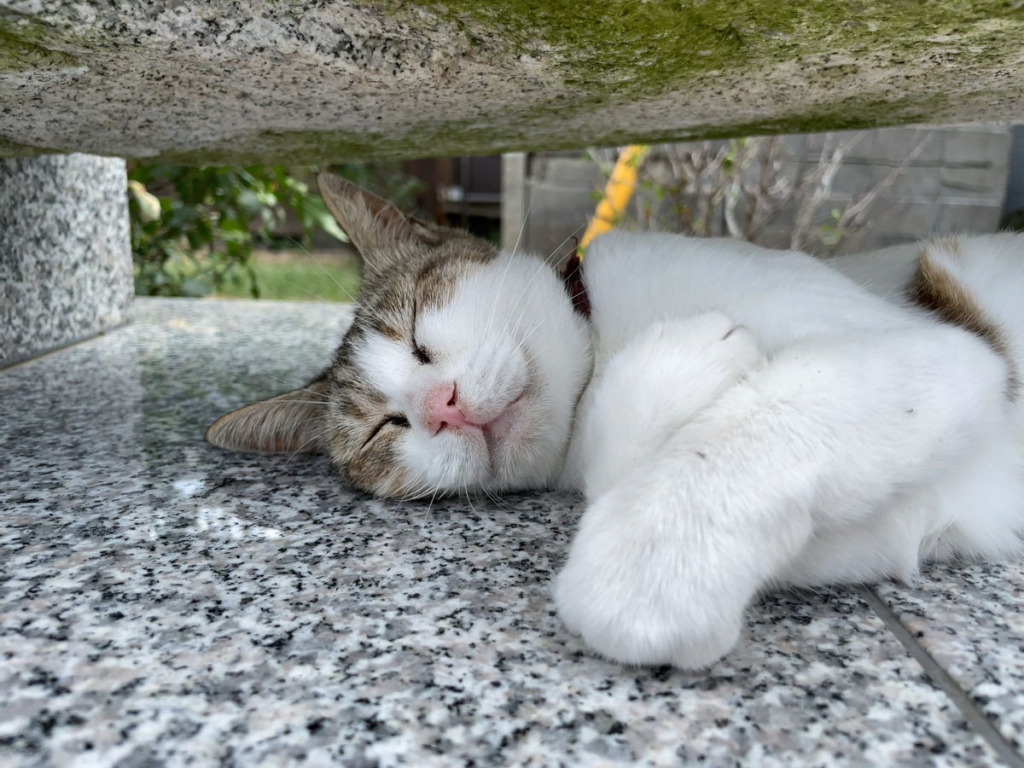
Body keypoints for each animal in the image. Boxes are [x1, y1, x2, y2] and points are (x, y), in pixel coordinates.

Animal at [205, 173, 1024, 667]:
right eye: (385, 429)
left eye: (415, 334)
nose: (441, 407)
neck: (601, 351)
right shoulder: (910, 522)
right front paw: (672, 380)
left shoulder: (939, 352)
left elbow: (765, 418)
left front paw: (649, 567)